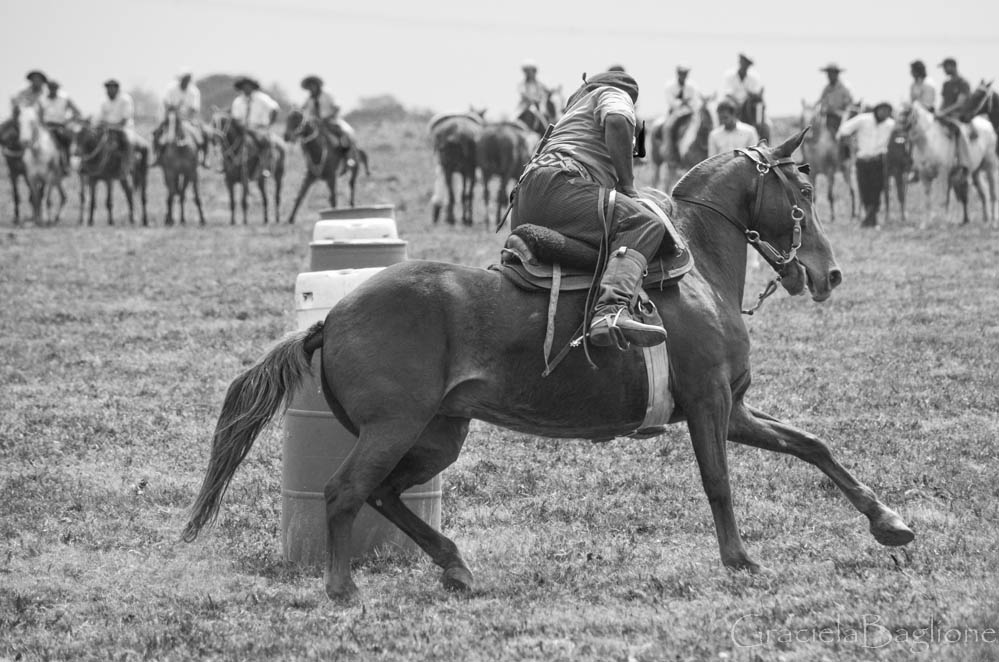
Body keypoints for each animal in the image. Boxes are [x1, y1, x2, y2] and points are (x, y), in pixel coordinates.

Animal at [180, 131, 916, 608]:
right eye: (801, 188)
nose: (828, 273)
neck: (697, 264)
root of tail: (331, 318)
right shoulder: (709, 404)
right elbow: (718, 484)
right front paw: (738, 559)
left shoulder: (732, 410)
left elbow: (813, 446)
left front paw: (889, 524)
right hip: (395, 429)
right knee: (343, 492)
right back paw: (343, 587)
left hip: (438, 436)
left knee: (385, 494)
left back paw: (455, 567)